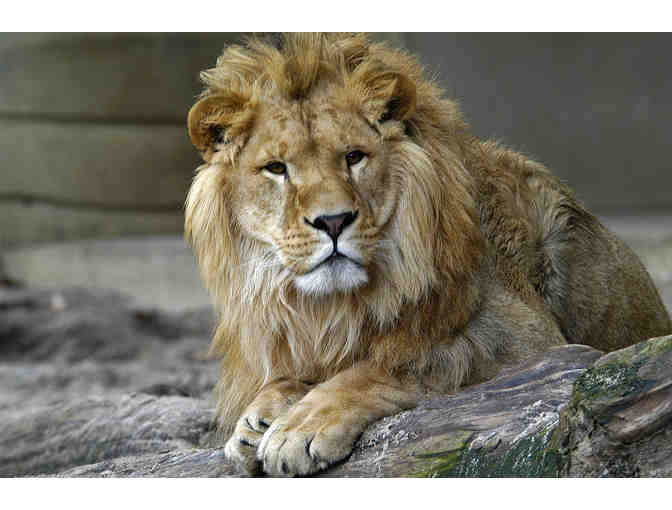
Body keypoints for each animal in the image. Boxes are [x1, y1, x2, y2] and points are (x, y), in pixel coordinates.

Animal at [184, 33, 671, 476]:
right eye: (276, 168)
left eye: (354, 157)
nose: (334, 221)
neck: (332, 304)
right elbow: (296, 373)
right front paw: (256, 420)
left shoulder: (537, 344)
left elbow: (396, 364)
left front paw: (300, 426)